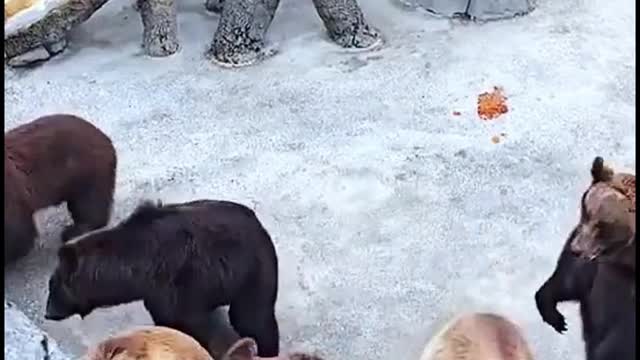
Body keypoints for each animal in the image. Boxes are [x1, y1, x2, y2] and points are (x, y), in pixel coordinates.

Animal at [46, 200, 282, 360]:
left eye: (53, 287)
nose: (48, 313)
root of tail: (260, 226)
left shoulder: (174, 286)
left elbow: (184, 325)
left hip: (251, 271)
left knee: (253, 317)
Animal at [536, 156, 636, 360]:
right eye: (586, 210)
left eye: (603, 225)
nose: (576, 248)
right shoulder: (599, 270)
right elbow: (568, 280)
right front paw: (556, 318)